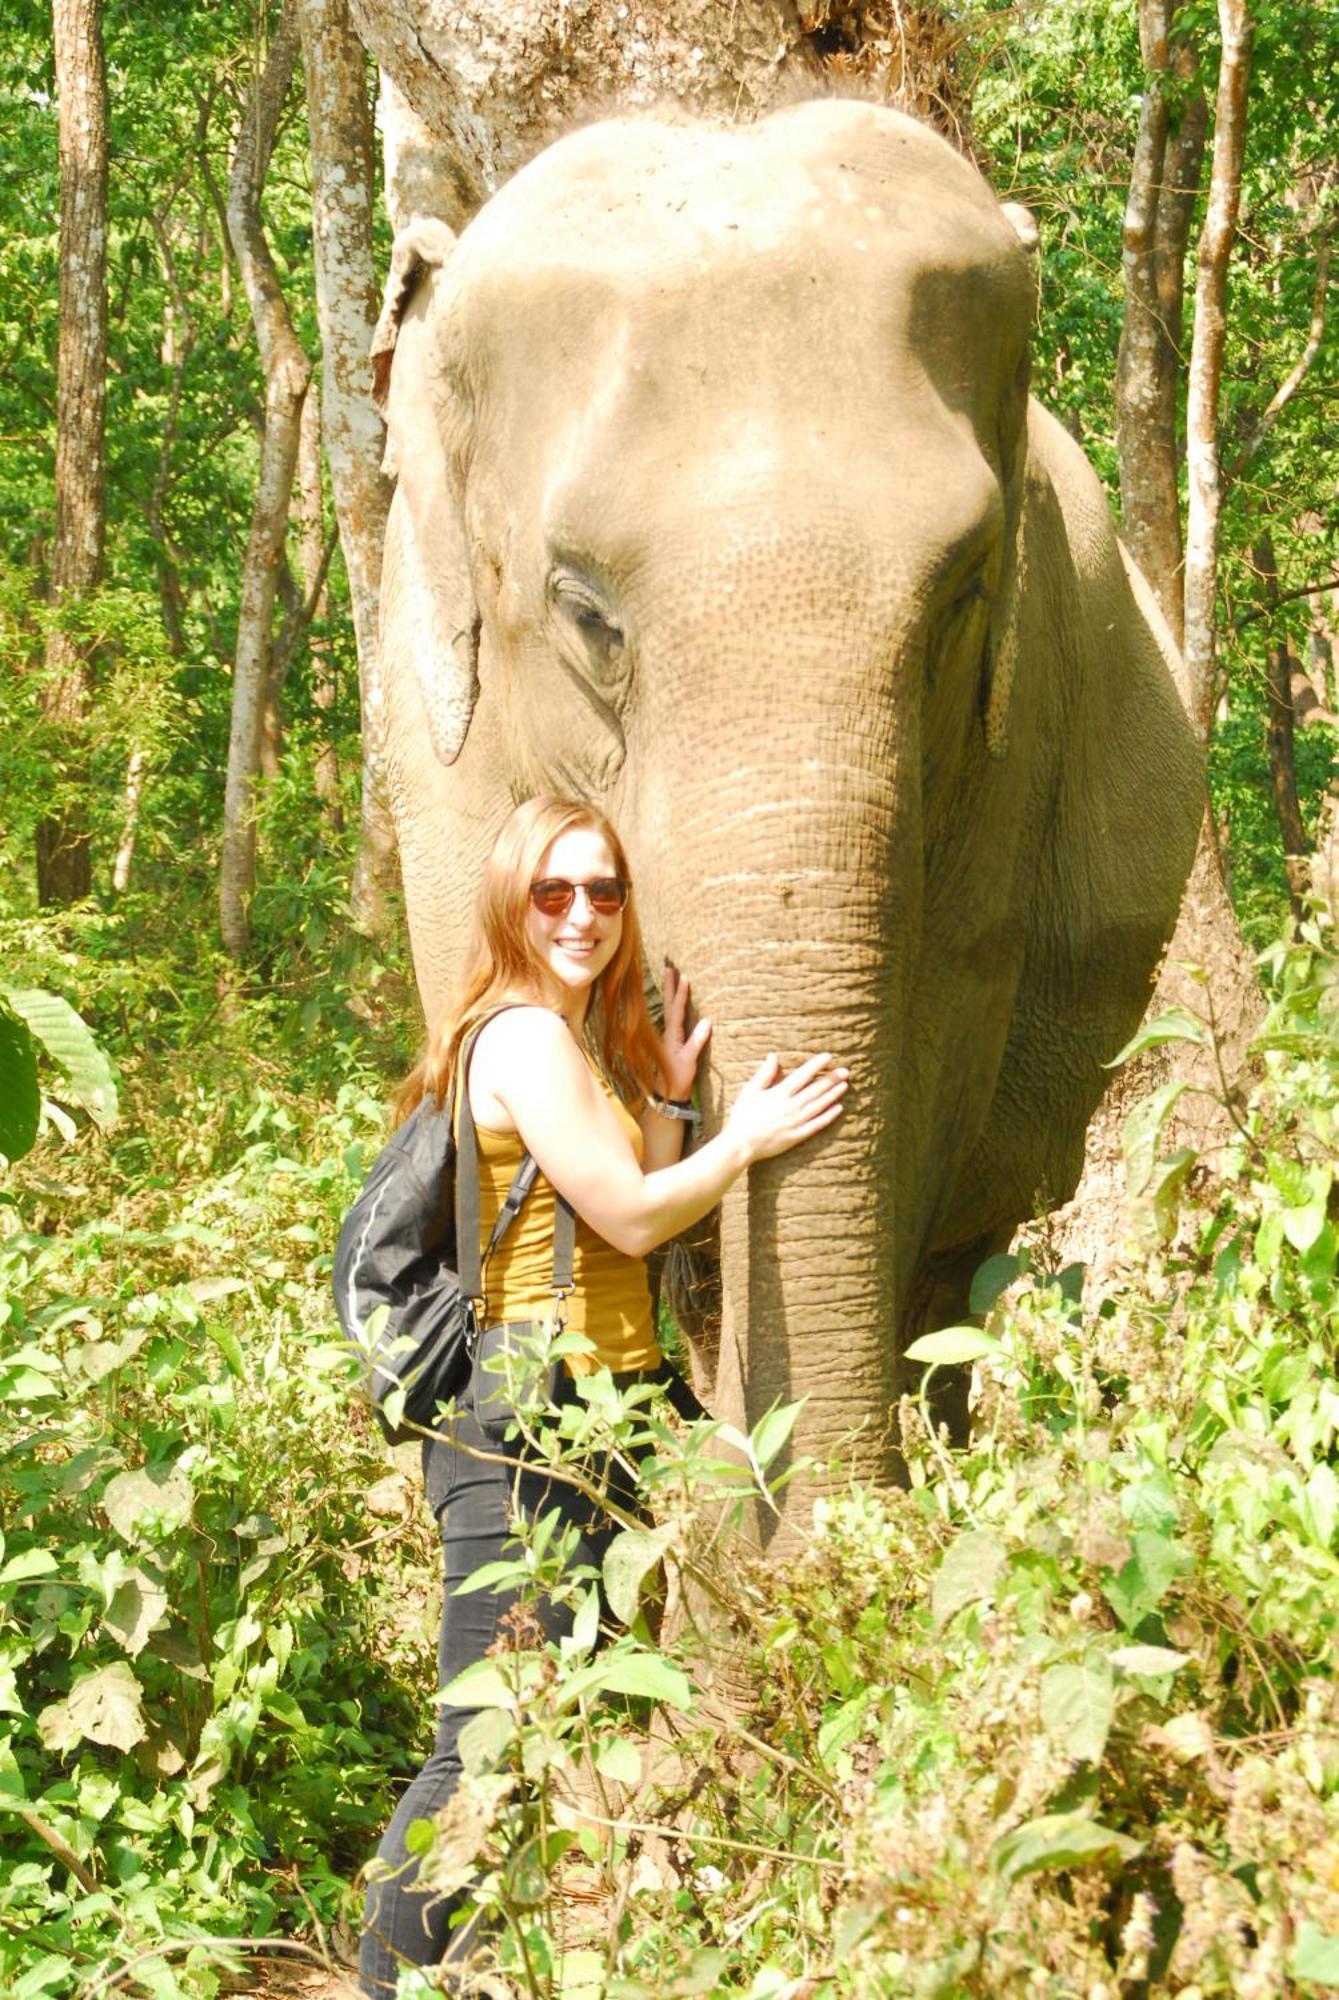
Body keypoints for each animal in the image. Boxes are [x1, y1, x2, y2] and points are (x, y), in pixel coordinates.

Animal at [369, 97, 1207, 1512]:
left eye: (965, 589)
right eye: (584, 610)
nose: (766, 1510)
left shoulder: (1004, 755)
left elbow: (930, 1046)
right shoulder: (440, 774)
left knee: (968, 1243)